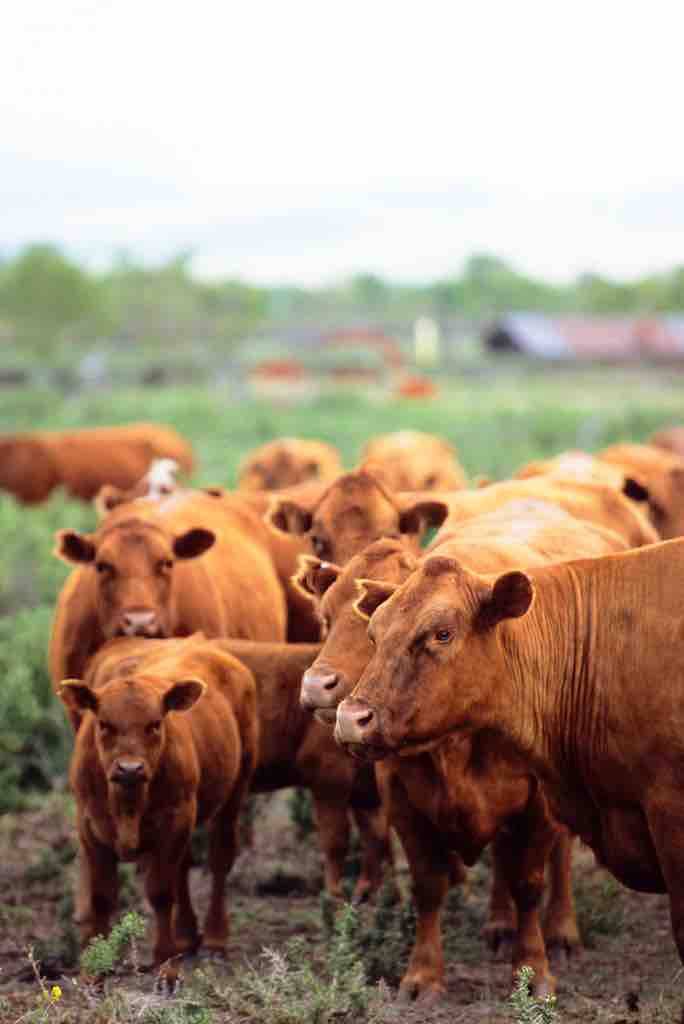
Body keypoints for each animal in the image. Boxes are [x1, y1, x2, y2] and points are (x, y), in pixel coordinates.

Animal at [59, 634, 259, 990]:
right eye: (104, 724)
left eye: (154, 724)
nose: (130, 769)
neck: (127, 804)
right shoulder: (89, 826)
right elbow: (101, 897)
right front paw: (96, 970)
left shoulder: (174, 821)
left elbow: (161, 894)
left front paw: (166, 965)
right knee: (183, 868)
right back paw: (186, 934)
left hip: (235, 789)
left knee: (219, 861)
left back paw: (214, 938)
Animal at [87, 636, 392, 904]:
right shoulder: (328, 777)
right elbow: (336, 840)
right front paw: (338, 901)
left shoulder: (365, 793)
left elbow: (377, 835)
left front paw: (377, 893)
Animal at [335, 539, 684, 1014]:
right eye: (374, 635)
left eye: (442, 633)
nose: (351, 719)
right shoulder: (405, 802)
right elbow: (430, 884)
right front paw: (422, 978)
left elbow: (527, 883)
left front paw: (532, 975)